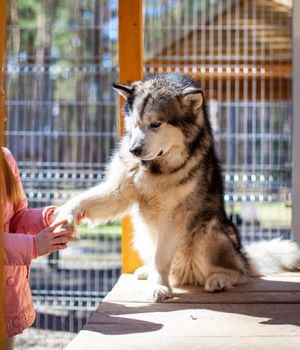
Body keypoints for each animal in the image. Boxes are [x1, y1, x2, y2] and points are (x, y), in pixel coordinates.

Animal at [56, 73, 300, 300]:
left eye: (156, 124)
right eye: (135, 125)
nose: (134, 150)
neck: (156, 168)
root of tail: (244, 256)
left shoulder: (175, 215)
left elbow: (161, 256)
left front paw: (158, 287)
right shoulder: (120, 191)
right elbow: (85, 198)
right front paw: (65, 213)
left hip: (207, 233)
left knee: (239, 273)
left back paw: (218, 279)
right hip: (141, 235)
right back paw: (147, 272)